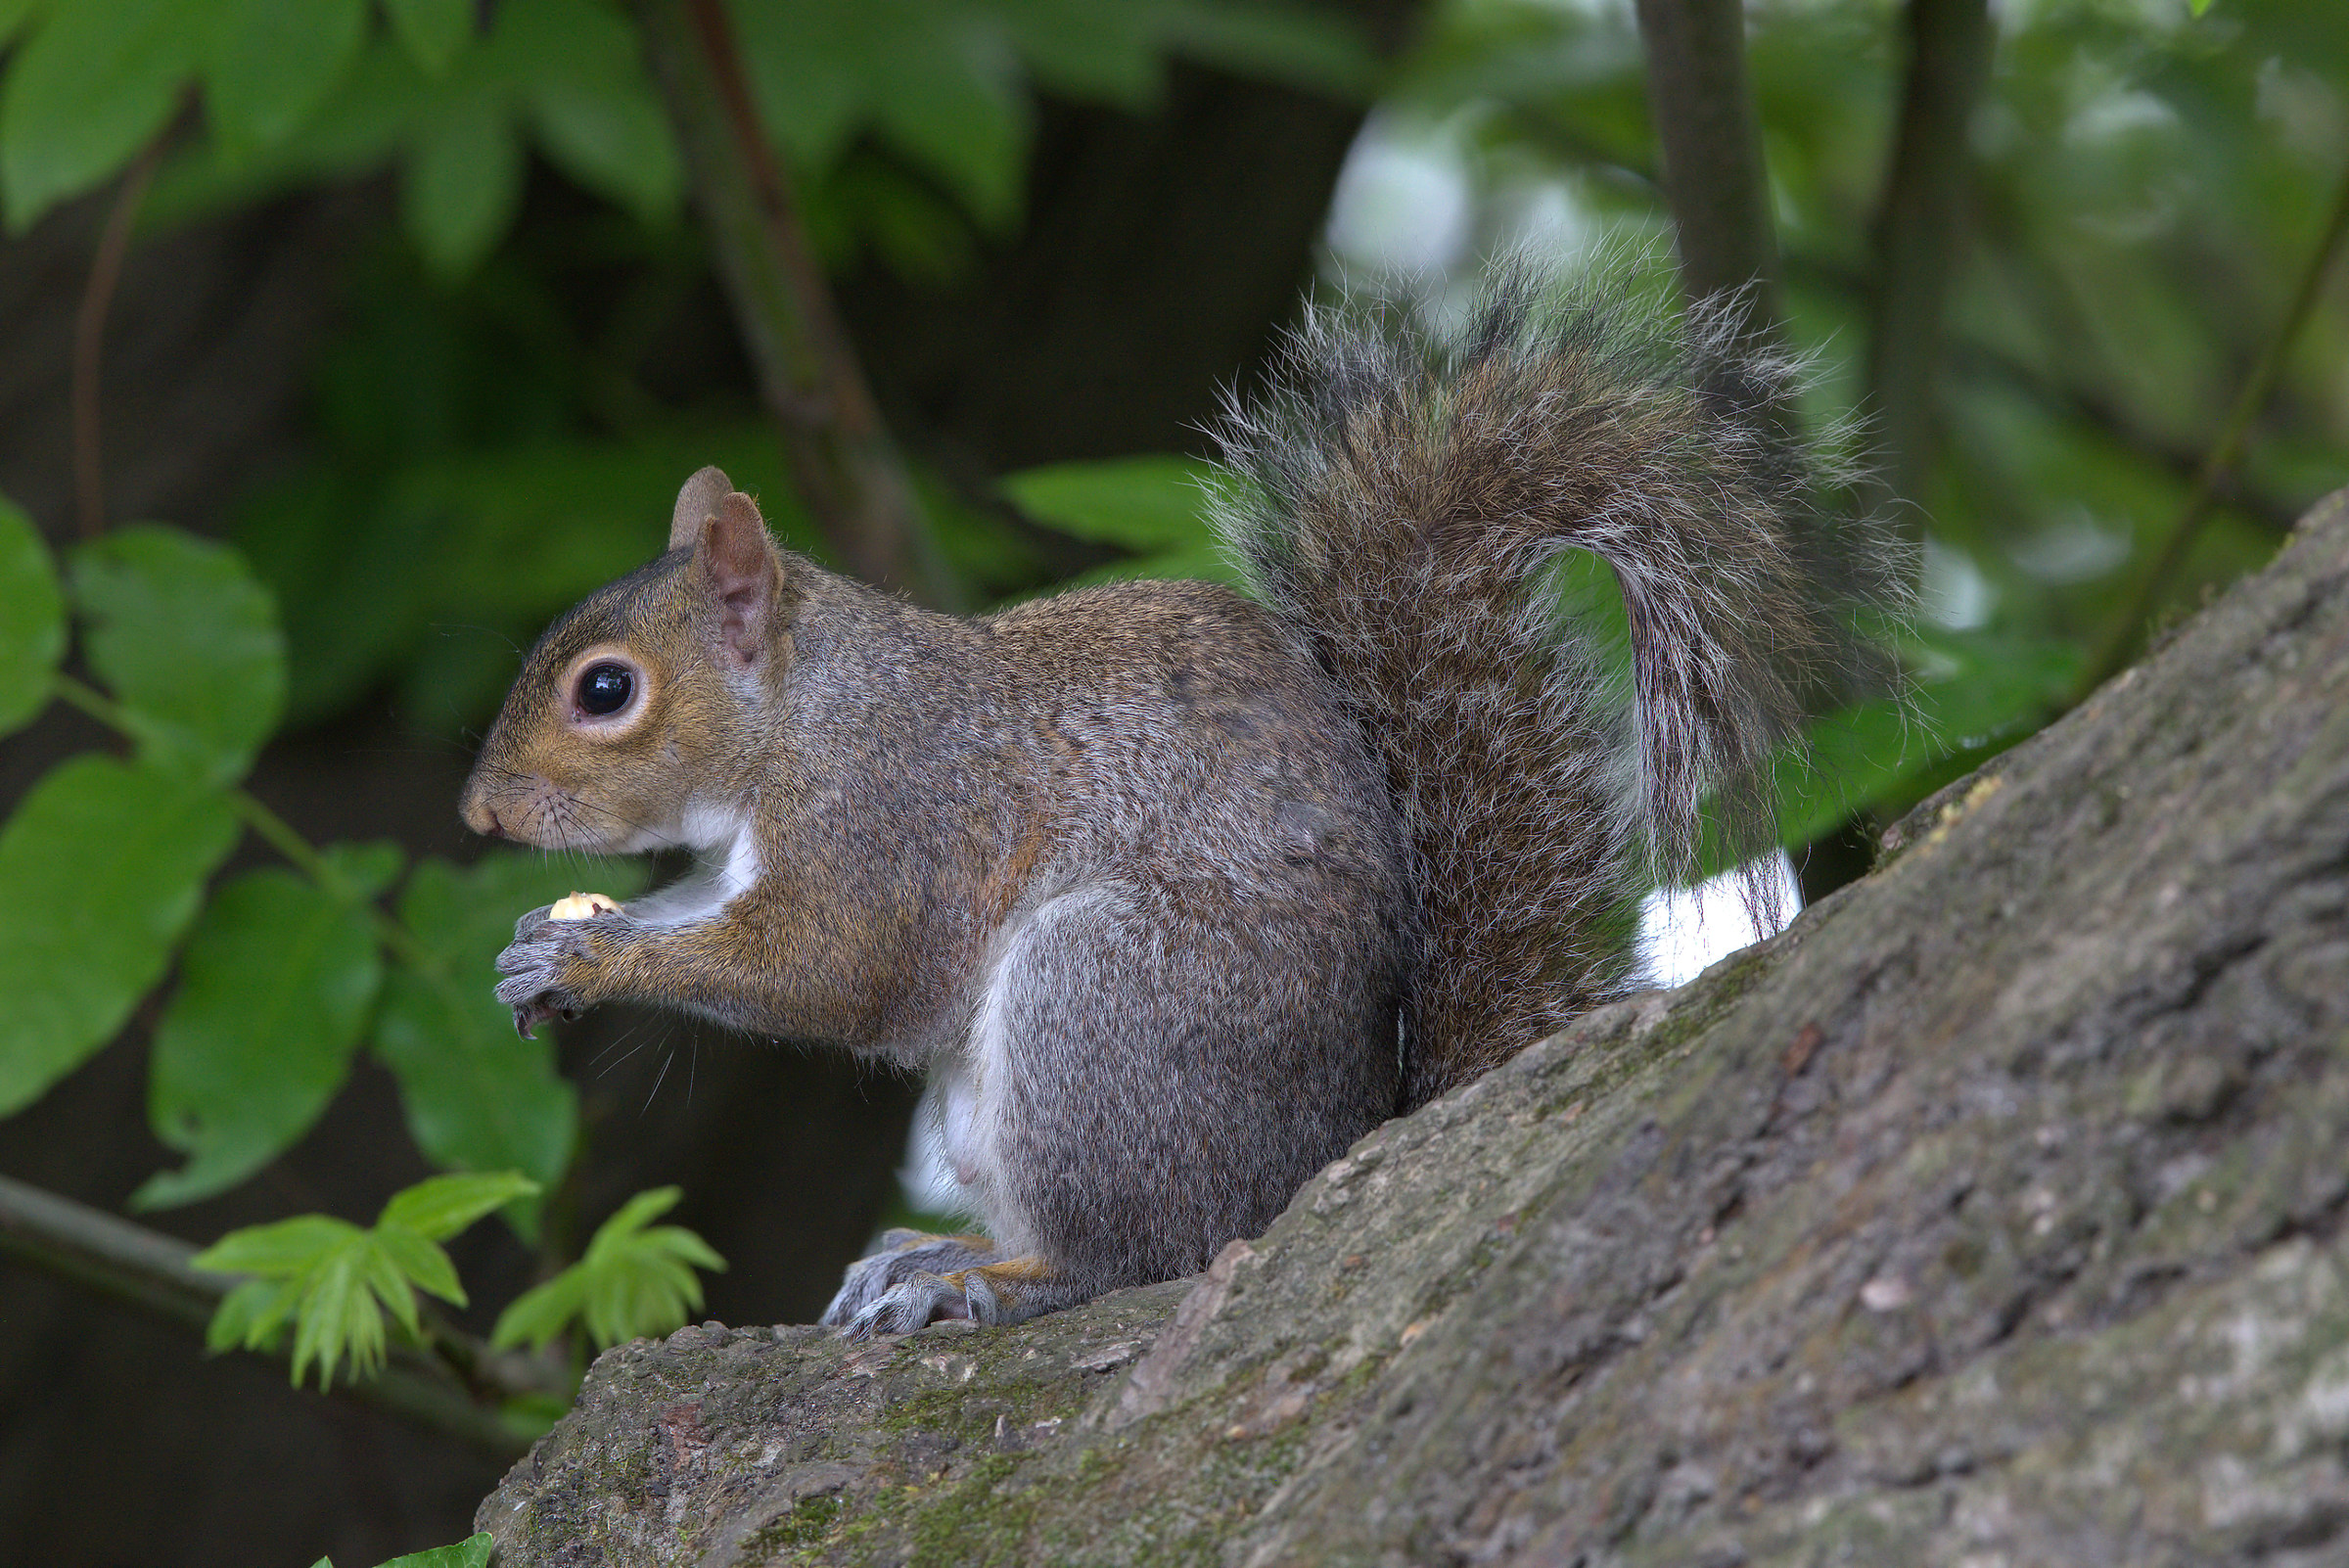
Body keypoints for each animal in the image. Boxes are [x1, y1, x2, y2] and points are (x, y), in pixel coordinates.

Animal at [460, 263, 1908, 1338]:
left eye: (605, 690)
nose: (480, 816)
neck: (801, 717)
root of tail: (1322, 1152)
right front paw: (539, 947)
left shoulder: (896, 811)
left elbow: (838, 968)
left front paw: (596, 956)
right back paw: (933, 1248)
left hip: (1105, 998)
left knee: (1138, 1254)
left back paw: (985, 1277)